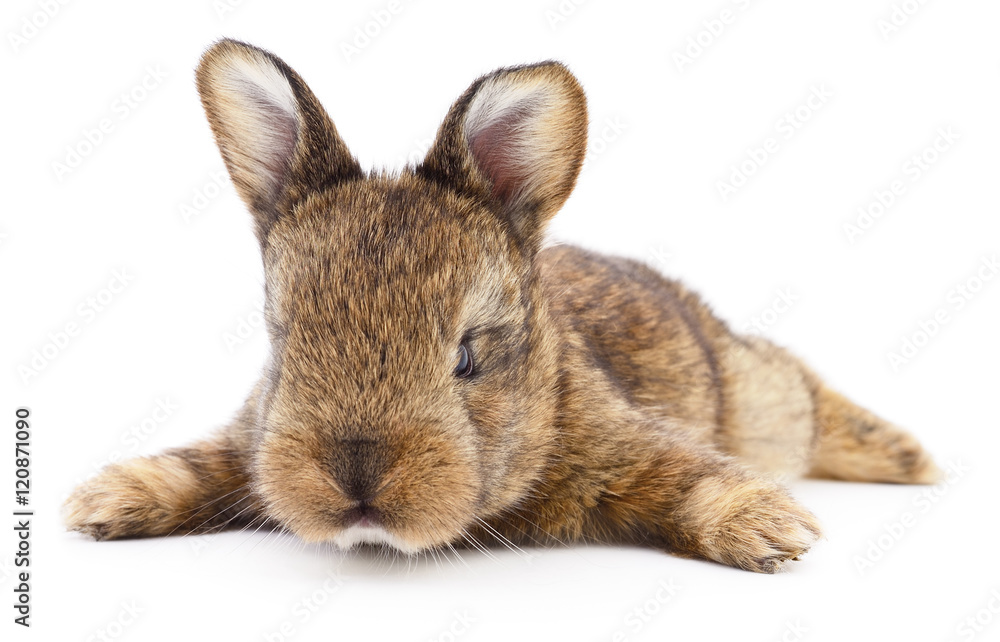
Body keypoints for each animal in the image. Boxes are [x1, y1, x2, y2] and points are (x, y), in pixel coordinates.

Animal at [63, 39, 941, 573]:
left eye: (466, 356)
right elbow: (199, 464)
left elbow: (696, 479)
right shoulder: (246, 443)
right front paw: (104, 502)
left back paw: (912, 459)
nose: (356, 472)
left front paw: (771, 531)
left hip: (762, 400)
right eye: (282, 345)